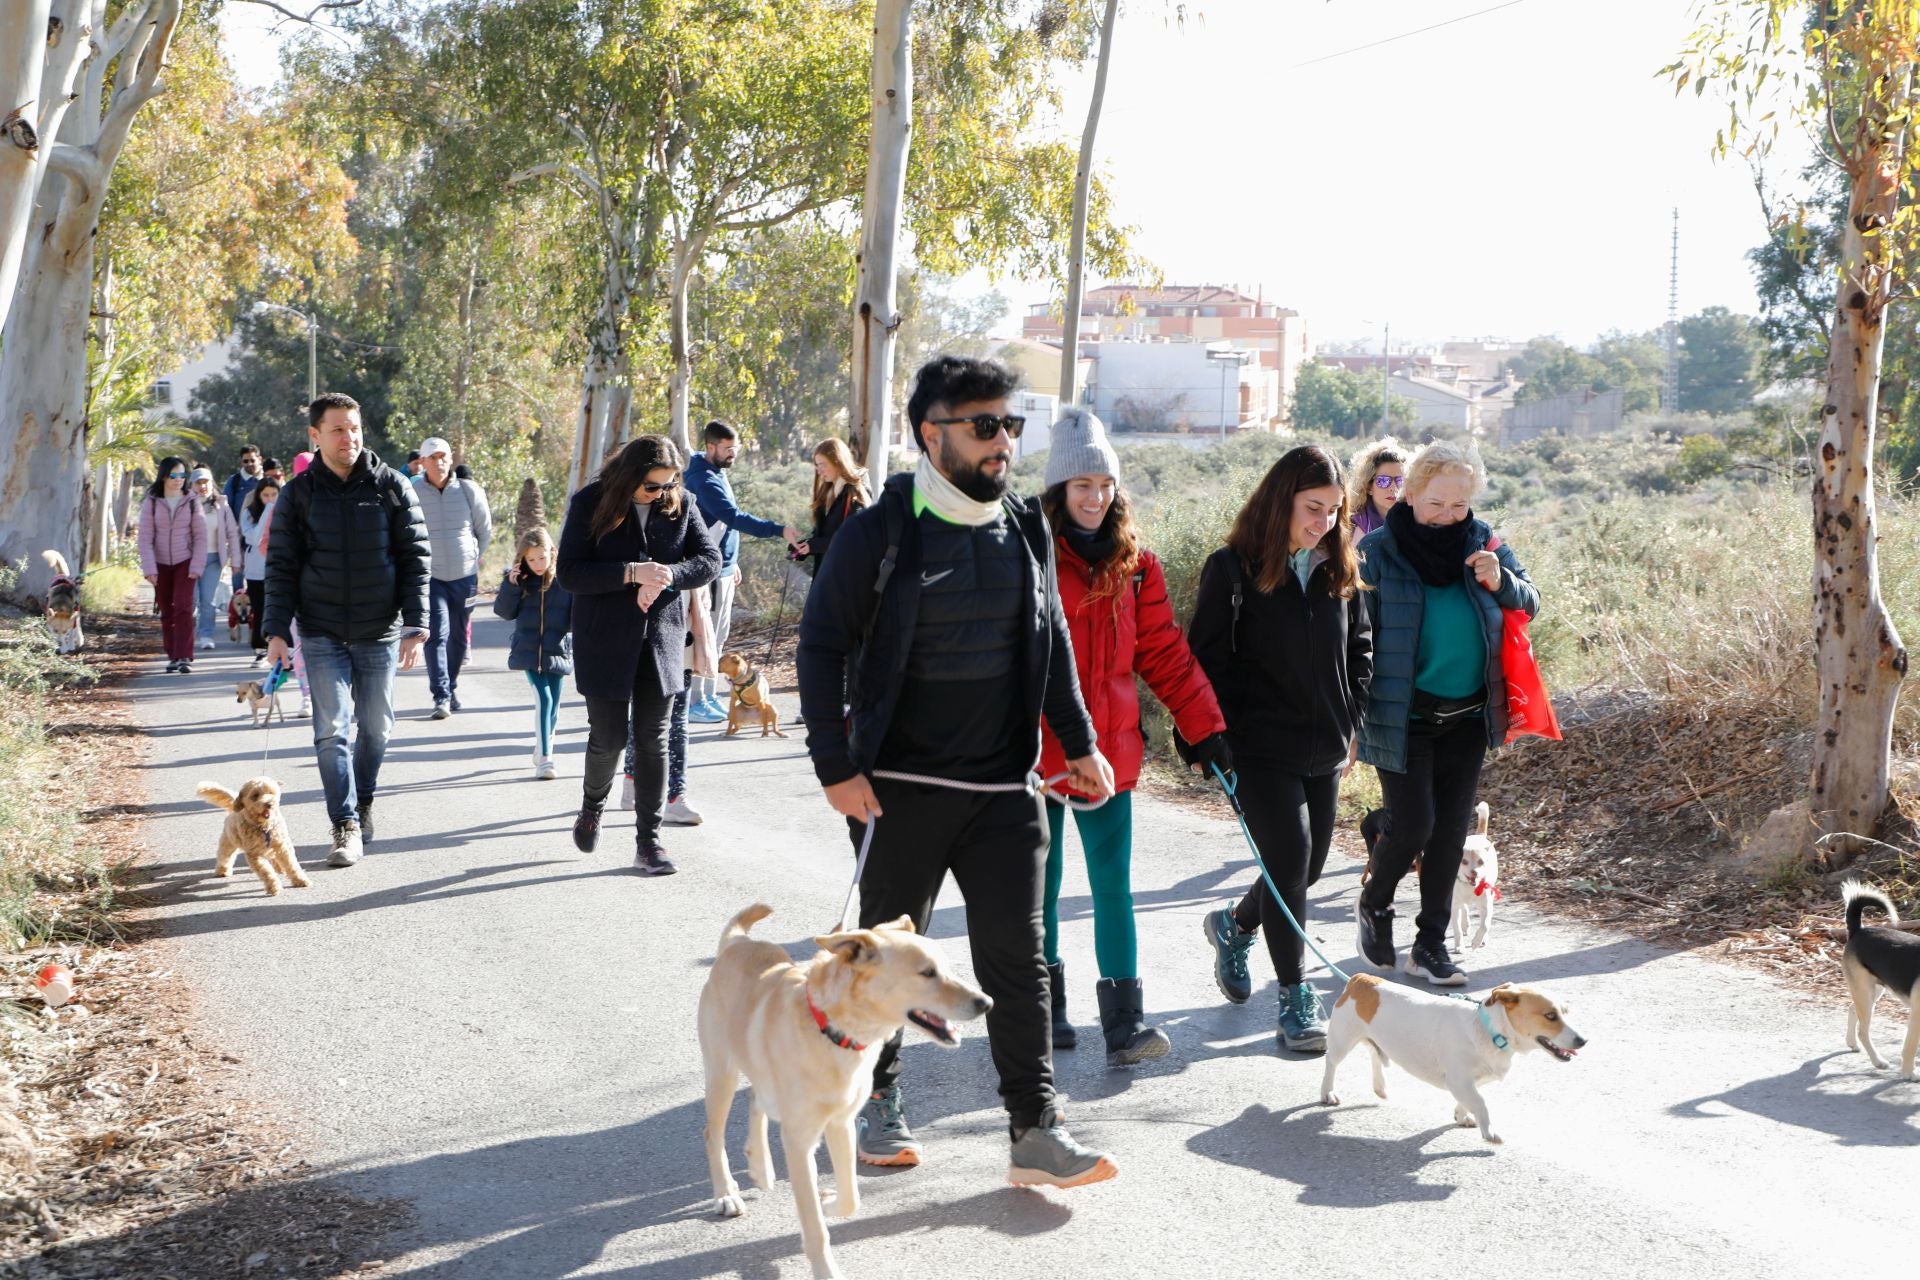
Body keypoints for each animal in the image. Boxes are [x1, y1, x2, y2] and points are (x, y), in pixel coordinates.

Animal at [695, 905, 990, 1274]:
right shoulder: (799, 1142)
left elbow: (852, 1197)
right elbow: (814, 1227)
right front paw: (825, 1268)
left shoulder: (840, 1123)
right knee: (712, 1134)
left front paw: (829, 1201)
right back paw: (725, 1193)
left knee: (756, 1100)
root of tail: (737, 943)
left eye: (947, 968)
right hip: (722, 1074)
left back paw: (761, 1168)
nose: (986, 1002)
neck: (834, 1031)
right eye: (927, 973)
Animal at [1320, 974, 1589, 1143]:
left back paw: (1381, 1088)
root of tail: (1361, 979)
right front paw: (1489, 1132)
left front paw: (1462, 1116)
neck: (1489, 1030)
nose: (1583, 1040)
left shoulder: (1468, 1083)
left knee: (1374, 1053)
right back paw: (1328, 1093)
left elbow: (1468, 1101)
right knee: (1331, 1062)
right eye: (1550, 1016)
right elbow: (1480, 1103)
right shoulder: (1459, 1081)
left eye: (1565, 1012)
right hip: (1342, 1041)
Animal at [1451, 802, 1497, 951]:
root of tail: (1479, 836)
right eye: (1464, 861)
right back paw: (1465, 925)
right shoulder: (1454, 906)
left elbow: (1485, 925)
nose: (1474, 872)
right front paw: (1459, 946)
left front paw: (1477, 941)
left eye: (1481, 862)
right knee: (1464, 908)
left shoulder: (1486, 906)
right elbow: (1457, 929)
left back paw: (1483, 939)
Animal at [1835, 882, 1912, 1082]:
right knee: (1863, 1032)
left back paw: (1852, 1043)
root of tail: (1858, 930)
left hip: (1872, 992)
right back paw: (1878, 1061)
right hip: (1867, 994)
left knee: (1852, 1009)